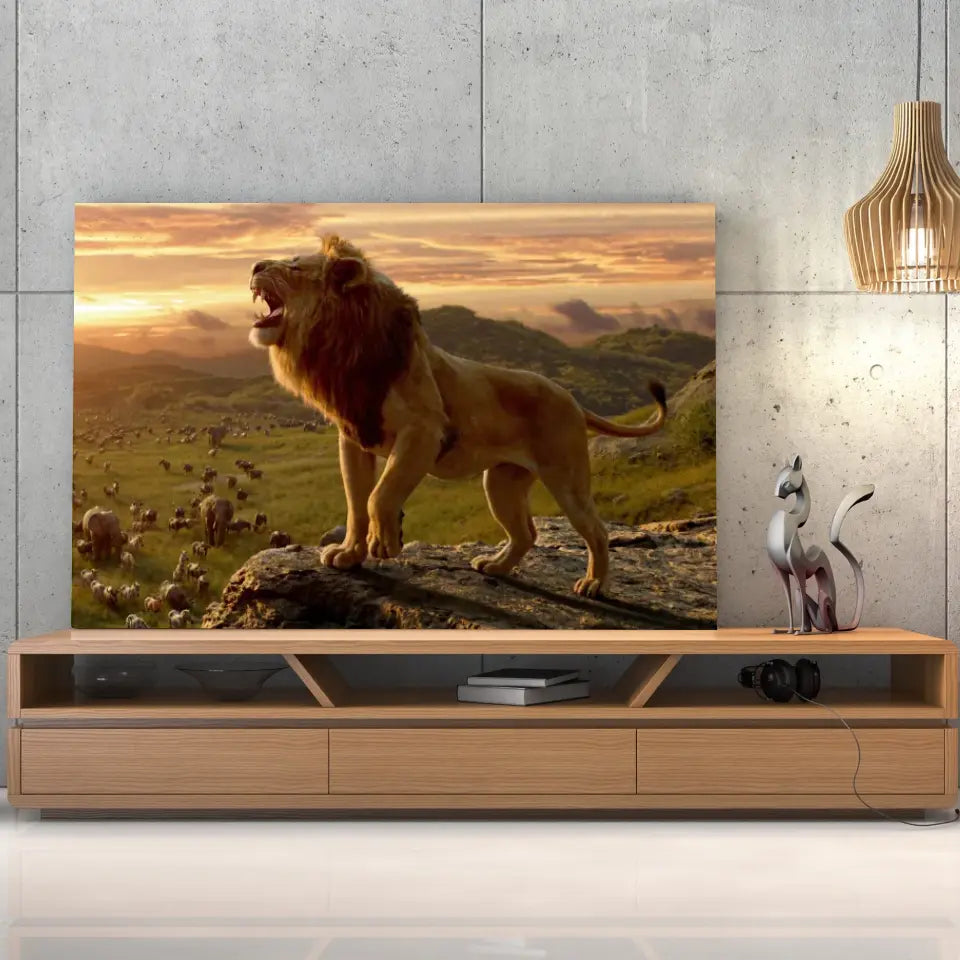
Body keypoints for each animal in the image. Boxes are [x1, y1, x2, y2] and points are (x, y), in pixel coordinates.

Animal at [249, 235, 667, 597]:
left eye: (294, 266)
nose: (254, 265)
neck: (341, 348)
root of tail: (573, 400)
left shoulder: (424, 430)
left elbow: (380, 495)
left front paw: (385, 542)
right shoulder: (354, 437)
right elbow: (356, 502)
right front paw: (350, 554)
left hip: (566, 478)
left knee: (596, 530)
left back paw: (593, 583)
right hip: (501, 482)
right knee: (526, 533)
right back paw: (495, 567)